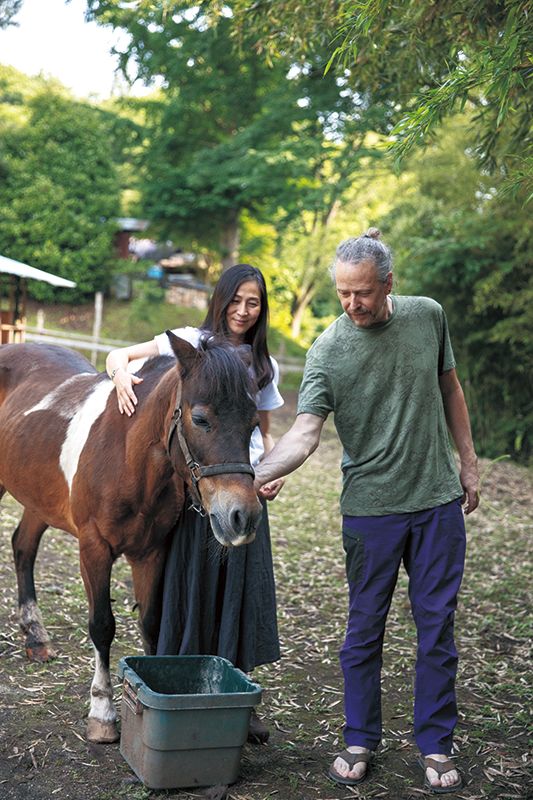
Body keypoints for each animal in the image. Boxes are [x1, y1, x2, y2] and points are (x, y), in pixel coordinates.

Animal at [0, 332, 262, 744]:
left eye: (253, 423)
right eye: (200, 419)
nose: (242, 516)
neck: (127, 458)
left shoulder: (151, 553)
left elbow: (152, 621)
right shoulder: (94, 549)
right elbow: (102, 625)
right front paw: (102, 711)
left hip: (39, 498)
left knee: (23, 548)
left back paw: (36, 638)